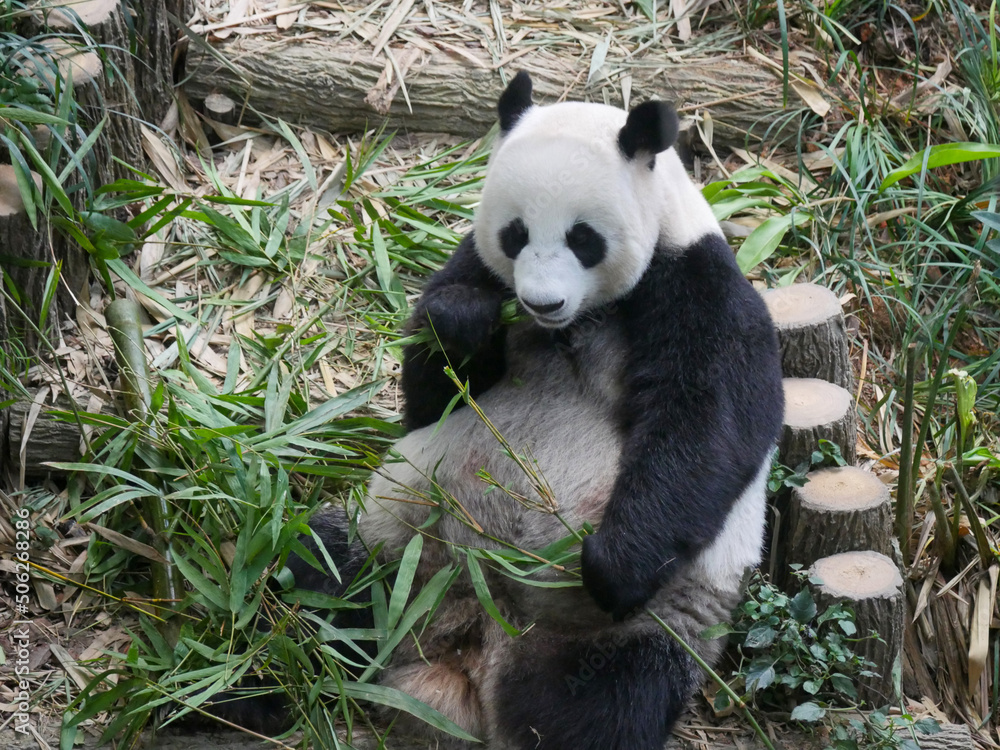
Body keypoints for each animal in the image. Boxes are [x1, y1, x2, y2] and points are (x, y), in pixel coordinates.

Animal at [294, 71, 784, 750]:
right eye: (515, 233)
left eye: (583, 238)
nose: (541, 302)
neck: (575, 324)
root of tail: (468, 639)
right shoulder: (475, 264)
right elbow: (428, 399)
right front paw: (463, 322)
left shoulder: (697, 285)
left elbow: (708, 422)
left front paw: (612, 565)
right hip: (394, 546)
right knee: (312, 566)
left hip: (638, 627)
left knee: (607, 704)